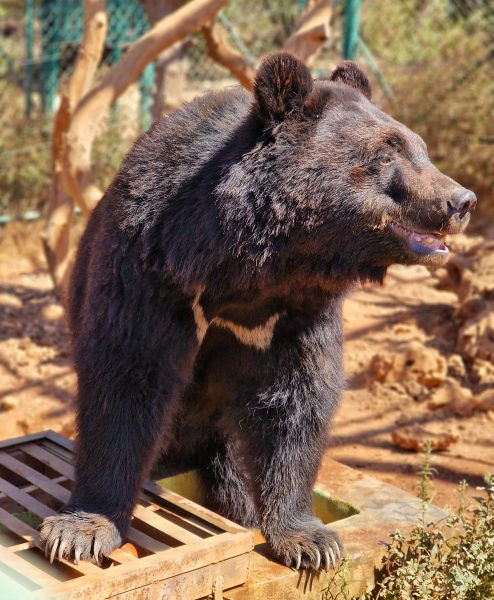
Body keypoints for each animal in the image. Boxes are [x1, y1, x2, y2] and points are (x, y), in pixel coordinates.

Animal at [41, 52, 474, 572]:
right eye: (387, 154)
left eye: (421, 149)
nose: (461, 201)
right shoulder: (149, 269)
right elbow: (127, 375)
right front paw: (80, 531)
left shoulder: (298, 310)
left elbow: (296, 397)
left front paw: (310, 542)